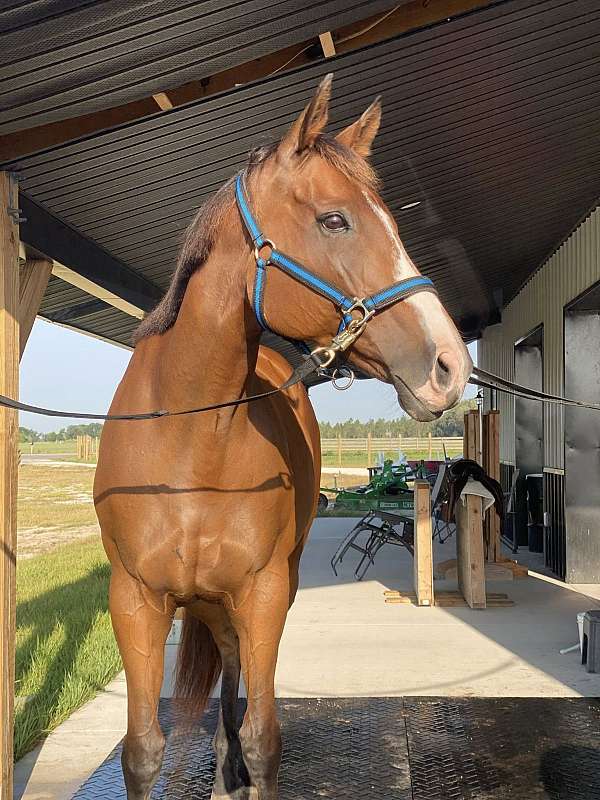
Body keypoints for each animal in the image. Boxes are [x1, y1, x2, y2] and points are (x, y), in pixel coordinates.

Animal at [93, 74, 472, 800]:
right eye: (334, 219)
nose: (449, 365)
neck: (191, 445)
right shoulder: (135, 600)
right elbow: (143, 751)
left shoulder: (263, 593)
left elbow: (263, 737)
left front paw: (243, 767)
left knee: (236, 684)